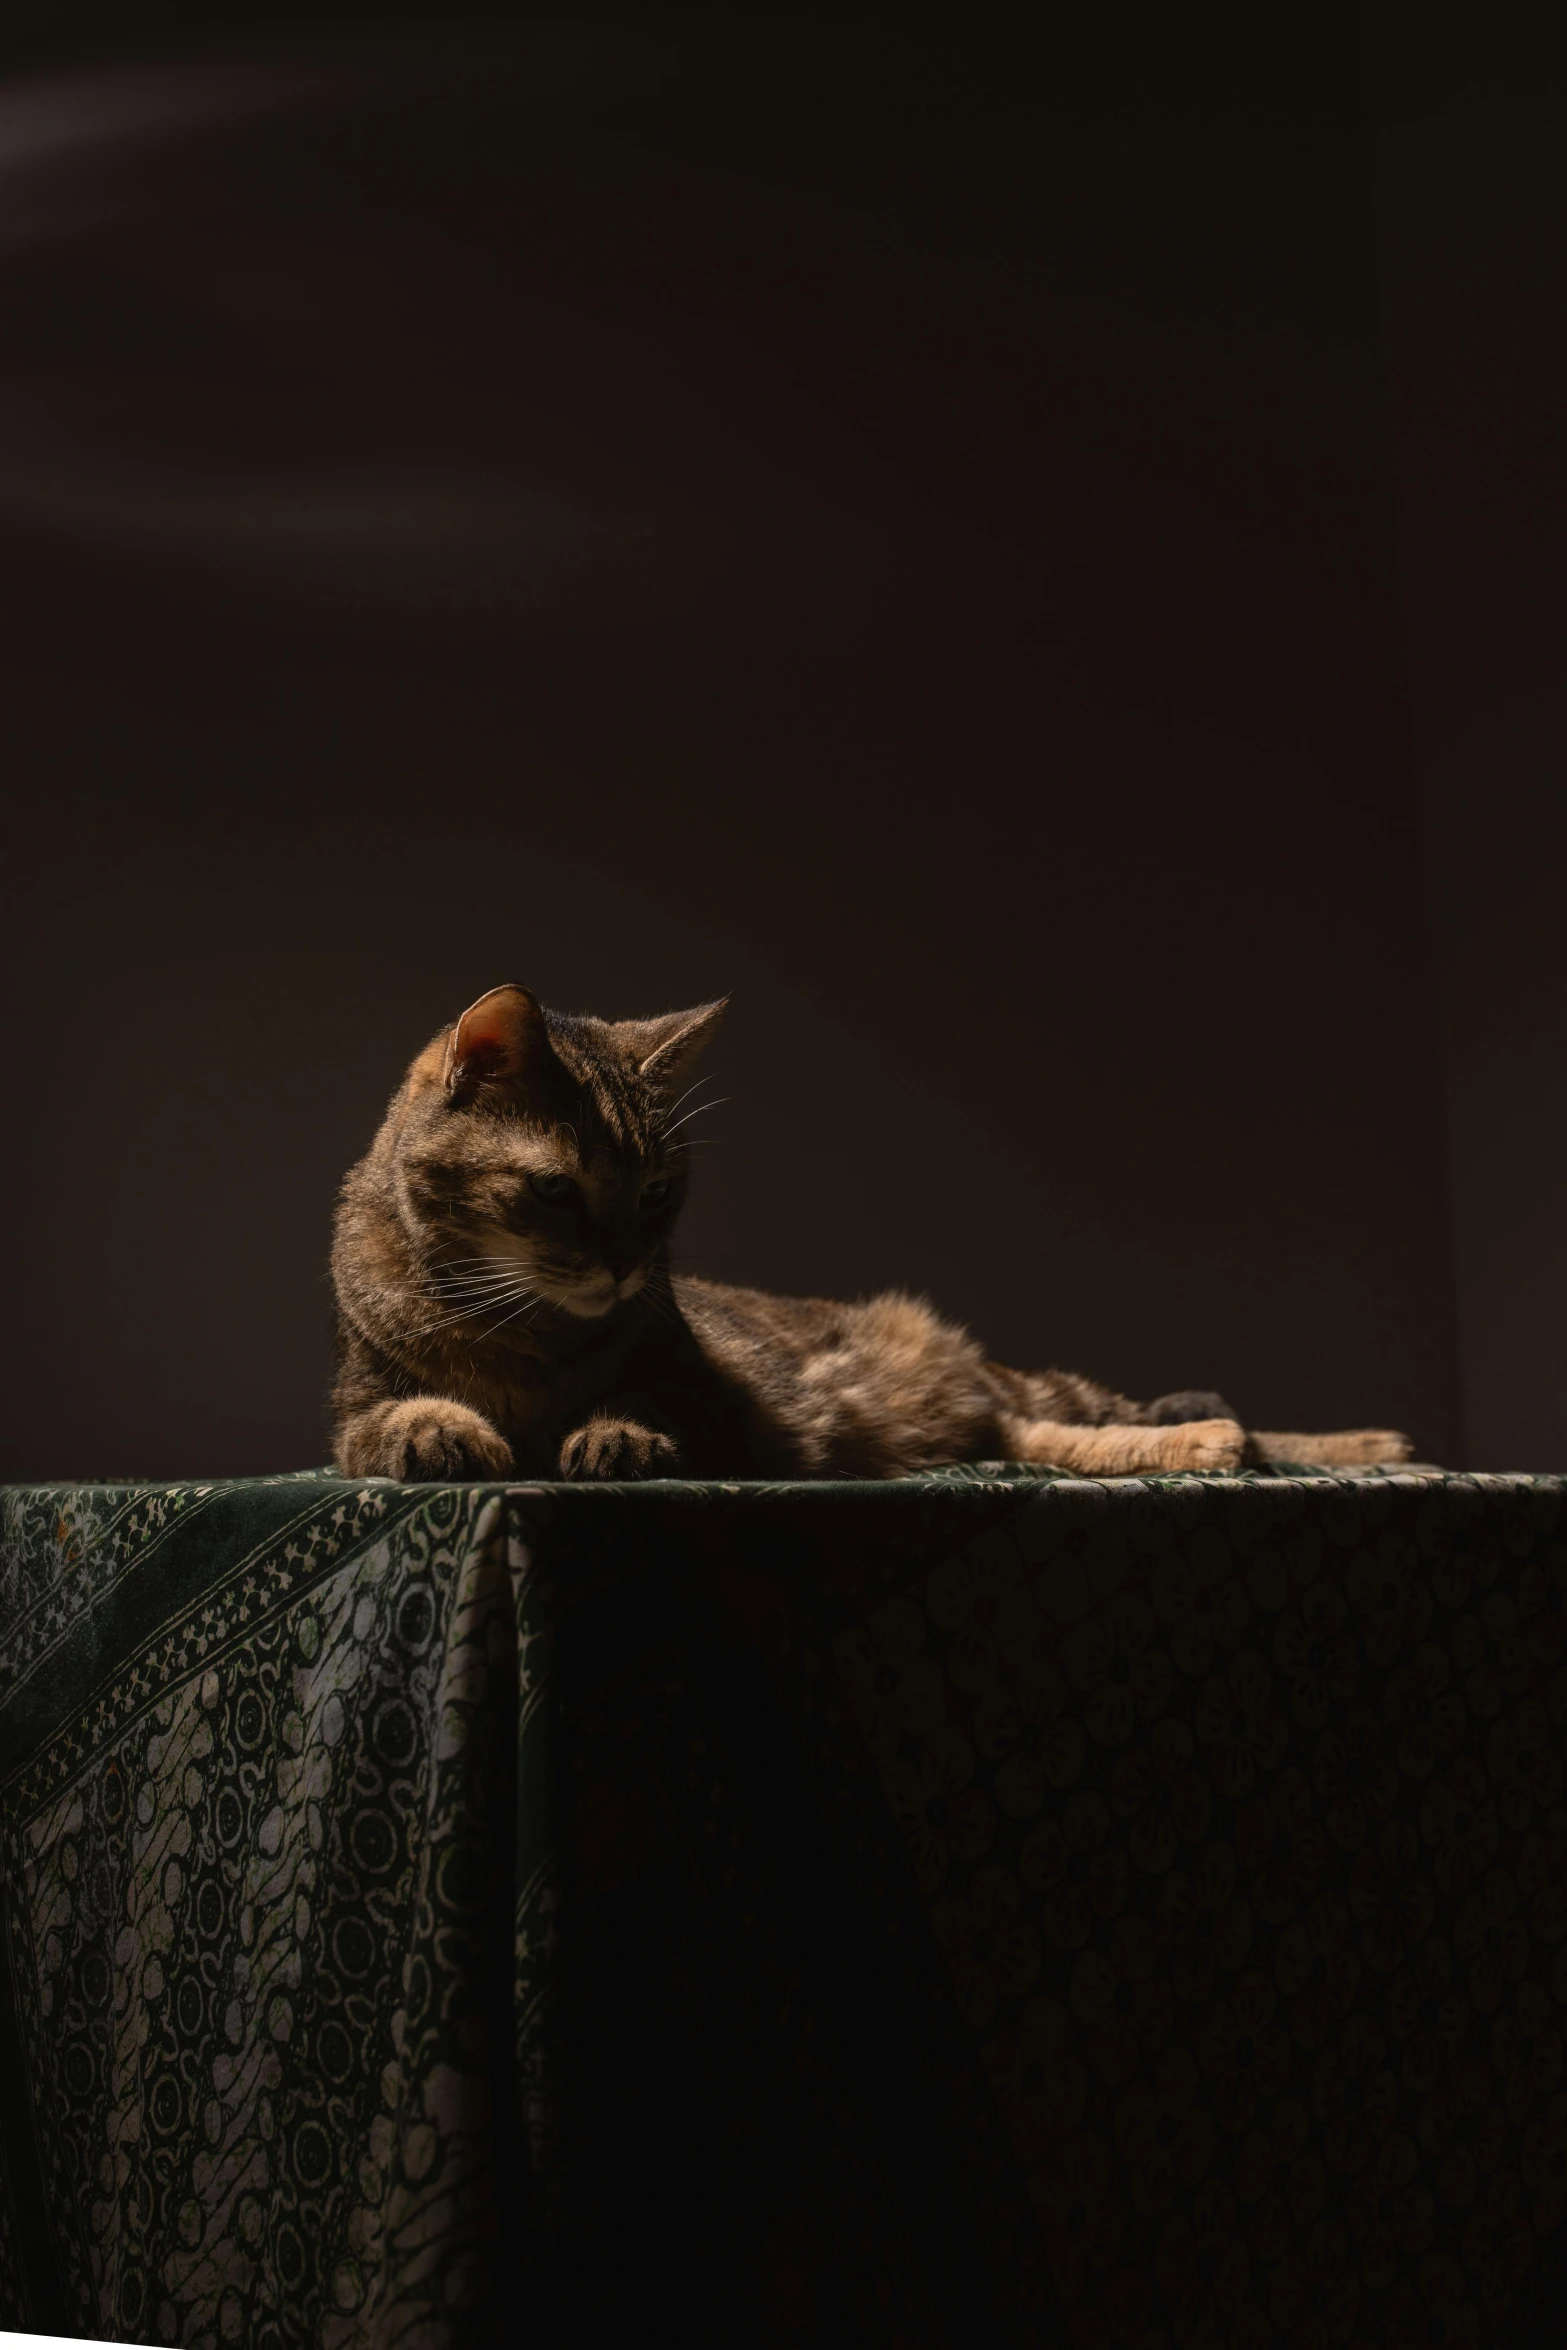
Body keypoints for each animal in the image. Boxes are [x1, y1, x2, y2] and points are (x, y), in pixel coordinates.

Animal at [324, 982, 1418, 1475]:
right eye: (557, 1191)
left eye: (657, 1192)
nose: (630, 1265)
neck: (519, 1331)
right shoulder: (357, 1400)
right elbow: (387, 1421)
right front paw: (441, 1428)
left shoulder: (711, 1395)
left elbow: (645, 1398)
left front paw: (615, 1432)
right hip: (996, 1417)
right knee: (1047, 1438)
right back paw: (1210, 1443)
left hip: (990, 1379)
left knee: (1075, 1414)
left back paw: (1316, 1437)